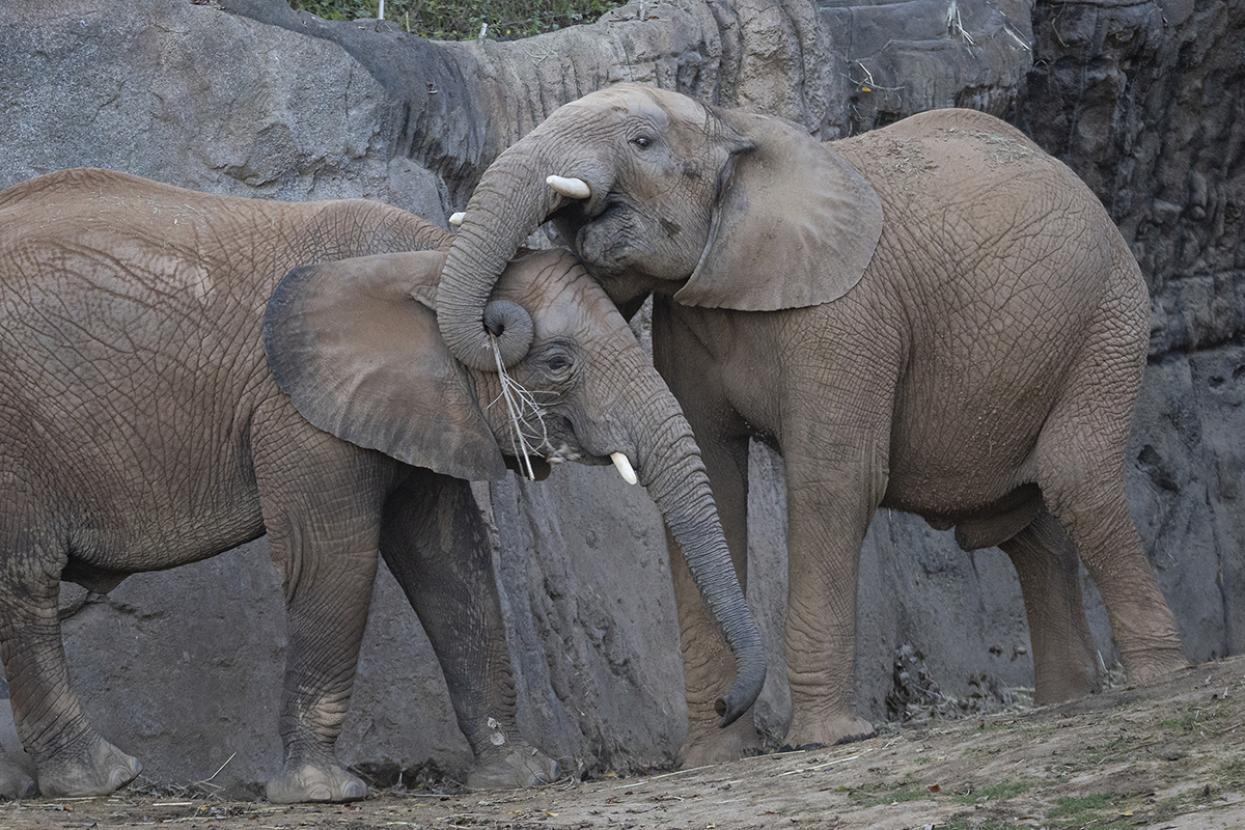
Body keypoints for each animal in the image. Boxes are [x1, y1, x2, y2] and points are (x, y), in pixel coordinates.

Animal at [0, 167, 764, 800]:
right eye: (556, 362)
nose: (725, 705)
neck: (436, 263)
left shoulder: (421, 400)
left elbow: (448, 560)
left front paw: (521, 774)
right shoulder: (297, 406)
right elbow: (334, 558)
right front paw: (323, 792)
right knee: (26, 581)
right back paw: (101, 779)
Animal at [432, 83, 1190, 765]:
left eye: (642, 142)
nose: (500, 318)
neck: (736, 126)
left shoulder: (846, 315)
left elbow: (834, 480)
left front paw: (826, 739)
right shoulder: (689, 318)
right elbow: (714, 484)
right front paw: (712, 757)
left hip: (1109, 317)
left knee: (1075, 478)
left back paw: (1161, 680)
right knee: (1028, 529)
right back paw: (1068, 699)